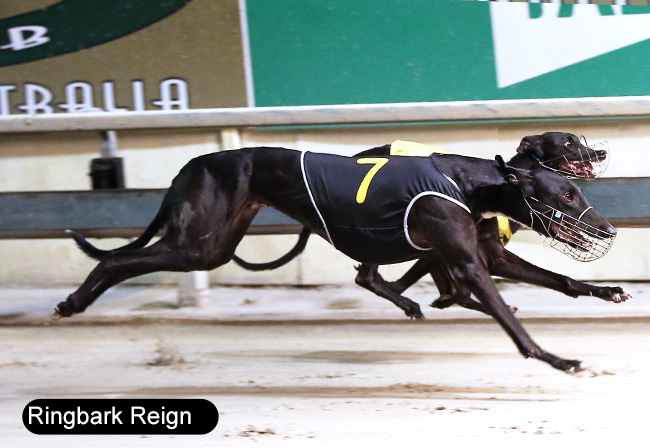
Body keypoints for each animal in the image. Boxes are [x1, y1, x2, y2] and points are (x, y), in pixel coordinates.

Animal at [59, 146, 618, 373]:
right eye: (566, 194)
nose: (609, 229)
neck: (470, 181)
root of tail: (191, 164)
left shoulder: (475, 254)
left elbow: (559, 280)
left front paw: (609, 290)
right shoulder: (466, 261)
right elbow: (503, 314)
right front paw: (558, 359)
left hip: (215, 244)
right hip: (199, 243)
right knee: (115, 262)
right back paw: (72, 303)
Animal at [233, 133, 630, 316]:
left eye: (577, 139)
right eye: (568, 143)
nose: (599, 152)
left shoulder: (484, 254)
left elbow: (560, 279)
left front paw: (609, 291)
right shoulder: (449, 249)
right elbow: (449, 287)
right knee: (367, 276)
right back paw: (409, 302)